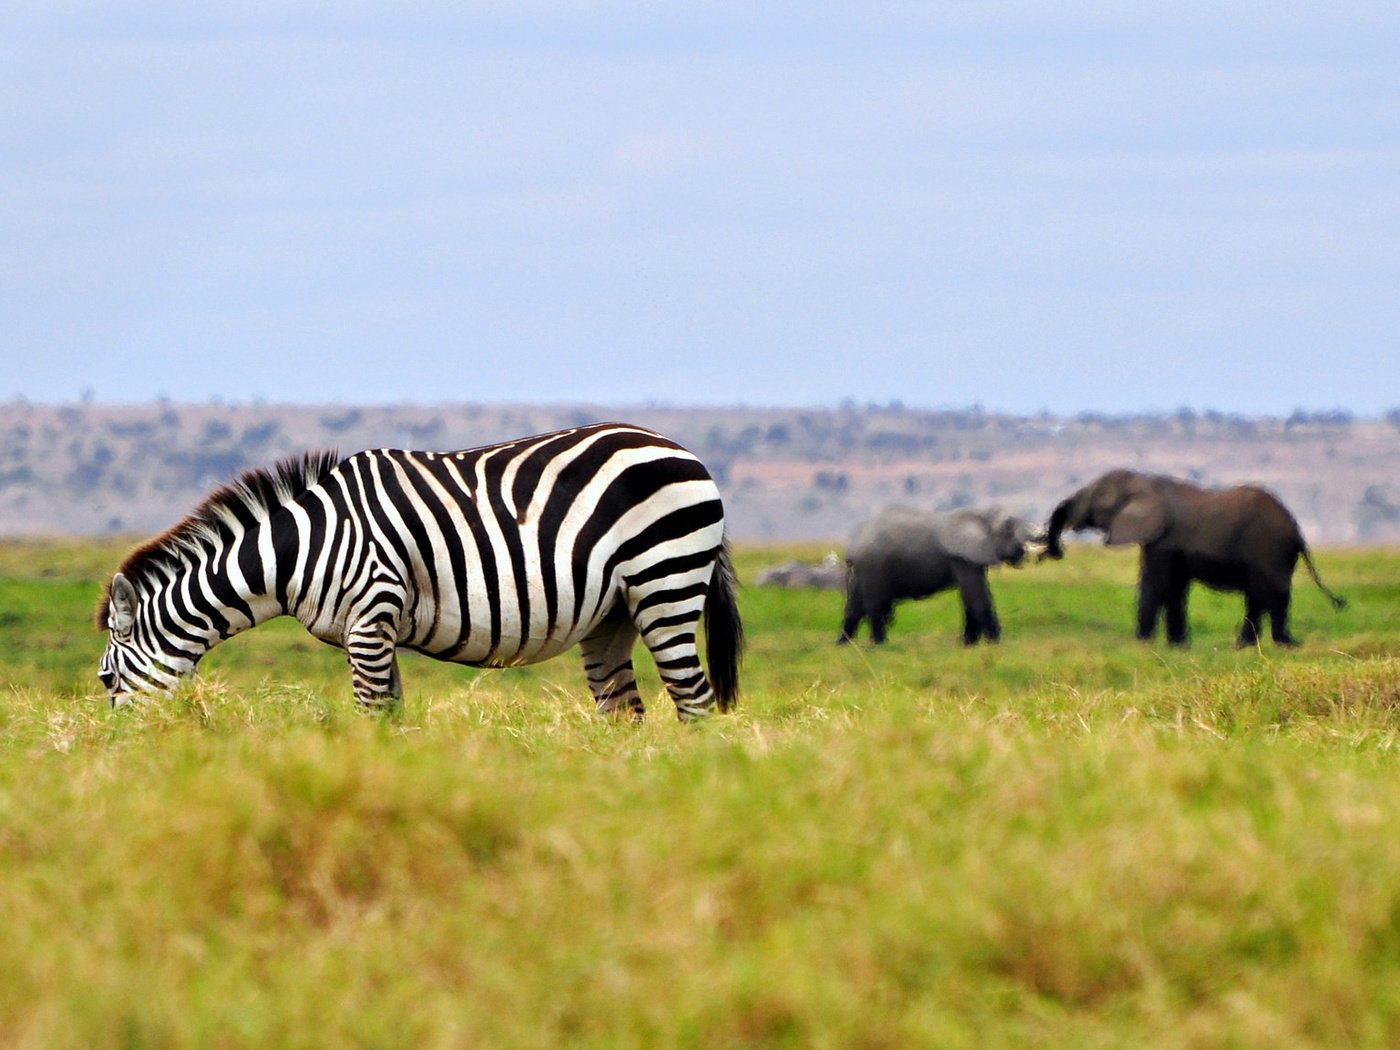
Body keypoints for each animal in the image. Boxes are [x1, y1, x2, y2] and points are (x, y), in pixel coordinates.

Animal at [95, 422, 744, 722]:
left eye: (105, 680)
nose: (119, 754)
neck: (299, 549)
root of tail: (681, 449)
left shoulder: (369, 619)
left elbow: (370, 714)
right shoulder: (374, 630)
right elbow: (392, 715)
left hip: (666, 583)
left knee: (694, 702)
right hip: (613, 613)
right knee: (624, 713)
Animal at [828, 506, 1041, 646]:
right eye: (1008, 527)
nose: (1022, 552)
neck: (979, 514)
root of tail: (853, 546)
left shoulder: (973, 557)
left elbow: (971, 598)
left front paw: (969, 645)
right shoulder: (961, 557)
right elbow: (976, 597)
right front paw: (995, 644)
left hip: (859, 573)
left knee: (854, 607)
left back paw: (843, 645)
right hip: (873, 567)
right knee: (874, 605)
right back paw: (880, 644)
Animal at [1047, 470, 1338, 649]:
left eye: (1095, 501)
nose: (1056, 551)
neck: (1146, 483)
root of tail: (1296, 530)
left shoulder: (1163, 540)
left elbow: (1156, 585)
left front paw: (1142, 644)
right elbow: (1175, 589)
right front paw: (1178, 647)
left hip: (1269, 547)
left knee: (1272, 594)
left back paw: (1283, 644)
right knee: (1259, 597)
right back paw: (1247, 646)